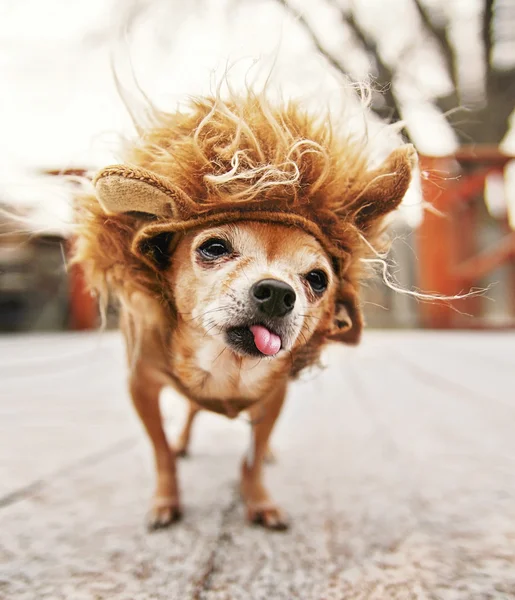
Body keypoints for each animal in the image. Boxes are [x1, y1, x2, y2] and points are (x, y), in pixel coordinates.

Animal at [74, 89, 418, 528]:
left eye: (318, 279)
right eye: (214, 248)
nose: (277, 292)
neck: (226, 367)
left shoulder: (274, 396)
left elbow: (251, 457)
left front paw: (257, 499)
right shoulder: (142, 386)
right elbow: (161, 452)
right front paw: (166, 499)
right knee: (189, 412)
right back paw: (184, 442)